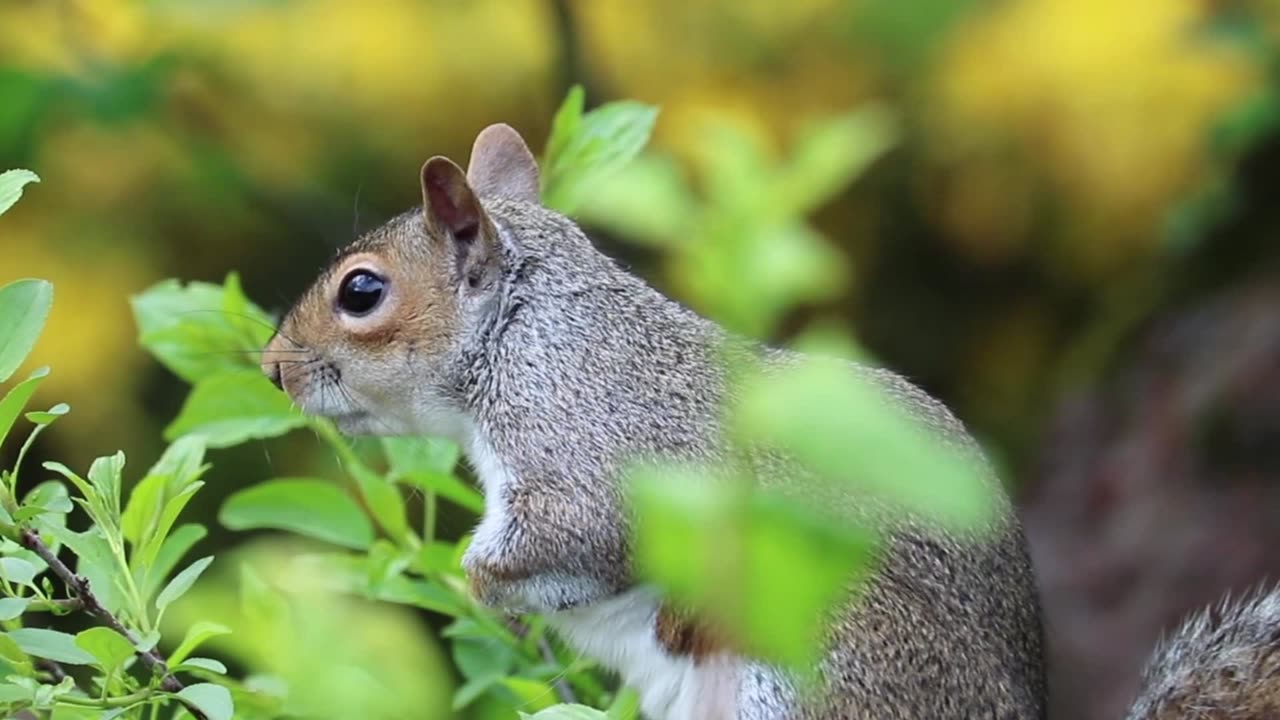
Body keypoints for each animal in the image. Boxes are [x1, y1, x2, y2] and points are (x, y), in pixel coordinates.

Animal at [259, 122, 1280, 717]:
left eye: (361, 292)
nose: (270, 367)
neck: (524, 331)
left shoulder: (583, 443)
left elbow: (566, 539)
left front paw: (478, 587)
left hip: (813, 661)